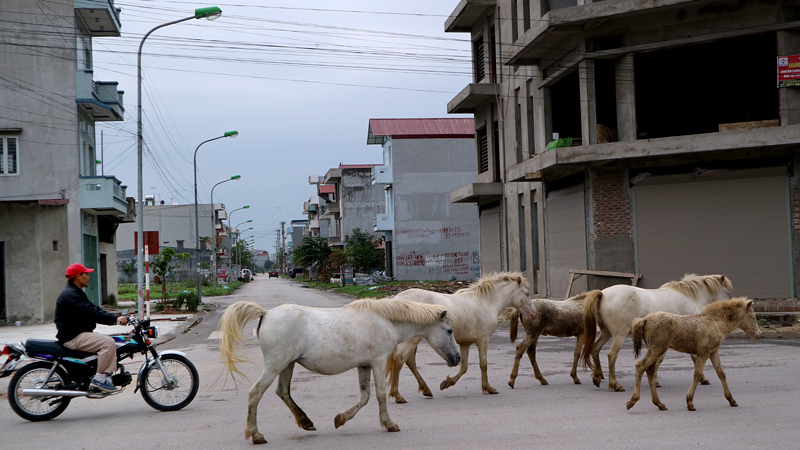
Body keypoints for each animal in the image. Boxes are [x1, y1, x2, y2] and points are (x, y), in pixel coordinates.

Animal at [219, 298, 460, 442]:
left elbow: (365, 396)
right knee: (255, 393)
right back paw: (256, 435)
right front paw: (389, 423)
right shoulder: (378, 362)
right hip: (275, 365)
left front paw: (341, 418)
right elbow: (380, 394)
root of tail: (266, 313)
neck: (385, 320)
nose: (457, 358)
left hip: (287, 365)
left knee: (283, 392)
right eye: (449, 330)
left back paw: (306, 422)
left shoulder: (364, 365)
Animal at [388, 272, 536, 402]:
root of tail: (396, 299)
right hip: (413, 340)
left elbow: (463, 367)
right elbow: (483, 364)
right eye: (527, 293)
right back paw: (397, 395)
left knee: (410, 361)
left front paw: (447, 383)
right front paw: (488, 388)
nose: (534, 313)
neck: (486, 302)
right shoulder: (483, 340)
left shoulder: (465, 344)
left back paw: (426, 390)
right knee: (400, 360)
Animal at [624, 298, 764, 414]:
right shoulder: (703, 352)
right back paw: (633, 401)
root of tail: (644, 319)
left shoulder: (713, 352)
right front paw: (690, 402)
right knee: (640, 366)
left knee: (650, 370)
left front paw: (731, 400)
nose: (759, 335)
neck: (715, 322)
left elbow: (721, 373)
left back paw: (659, 404)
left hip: (656, 350)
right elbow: (697, 374)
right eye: (753, 316)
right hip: (656, 349)